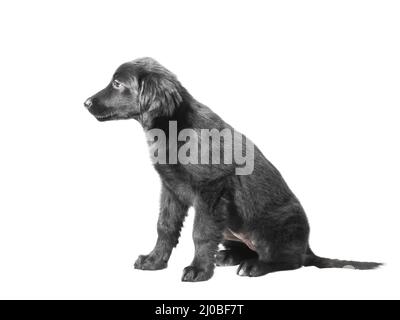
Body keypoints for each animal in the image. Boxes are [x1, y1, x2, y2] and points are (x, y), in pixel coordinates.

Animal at [84, 58, 382, 282]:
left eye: (117, 83)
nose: (85, 103)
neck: (173, 125)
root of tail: (308, 248)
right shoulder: (170, 189)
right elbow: (165, 227)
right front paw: (154, 261)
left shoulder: (211, 190)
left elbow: (200, 233)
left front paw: (199, 270)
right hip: (230, 228)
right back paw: (227, 257)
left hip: (271, 229)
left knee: (290, 260)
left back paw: (254, 267)